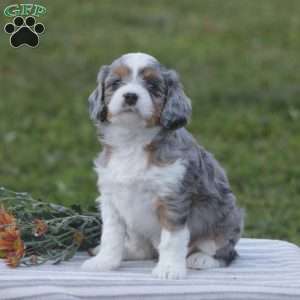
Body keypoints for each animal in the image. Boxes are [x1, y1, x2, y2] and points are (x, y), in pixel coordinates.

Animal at [82, 52, 244, 278]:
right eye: (116, 83)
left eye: (152, 86)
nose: (130, 96)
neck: (133, 140)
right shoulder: (111, 198)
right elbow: (111, 235)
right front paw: (104, 262)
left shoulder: (173, 199)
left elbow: (172, 239)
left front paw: (168, 269)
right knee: (142, 249)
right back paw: (128, 251)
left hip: (228, 218)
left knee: (226, 251)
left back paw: (202, 258)